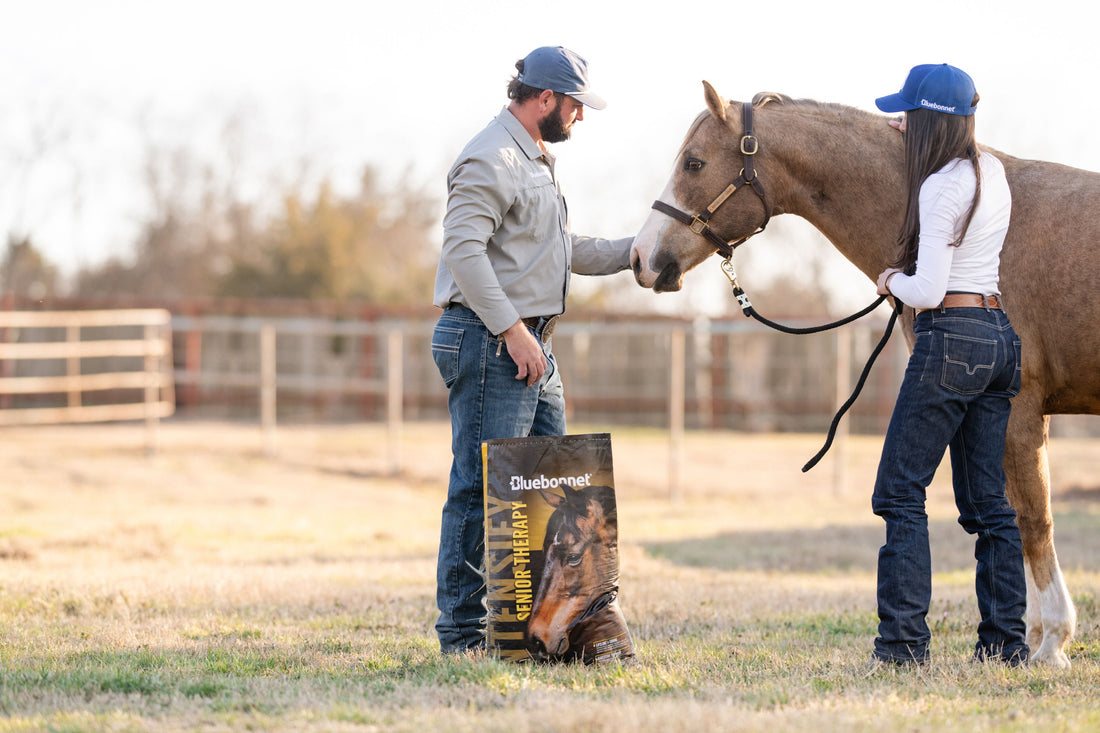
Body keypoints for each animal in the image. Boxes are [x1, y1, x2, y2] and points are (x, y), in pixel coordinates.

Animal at [629, 81, 1100, 668]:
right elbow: (1013, 517)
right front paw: (1032, 639)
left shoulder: (1021, 409)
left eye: (694, 162)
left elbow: (1033, 518)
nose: (640, 258)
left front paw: (1051, 643)